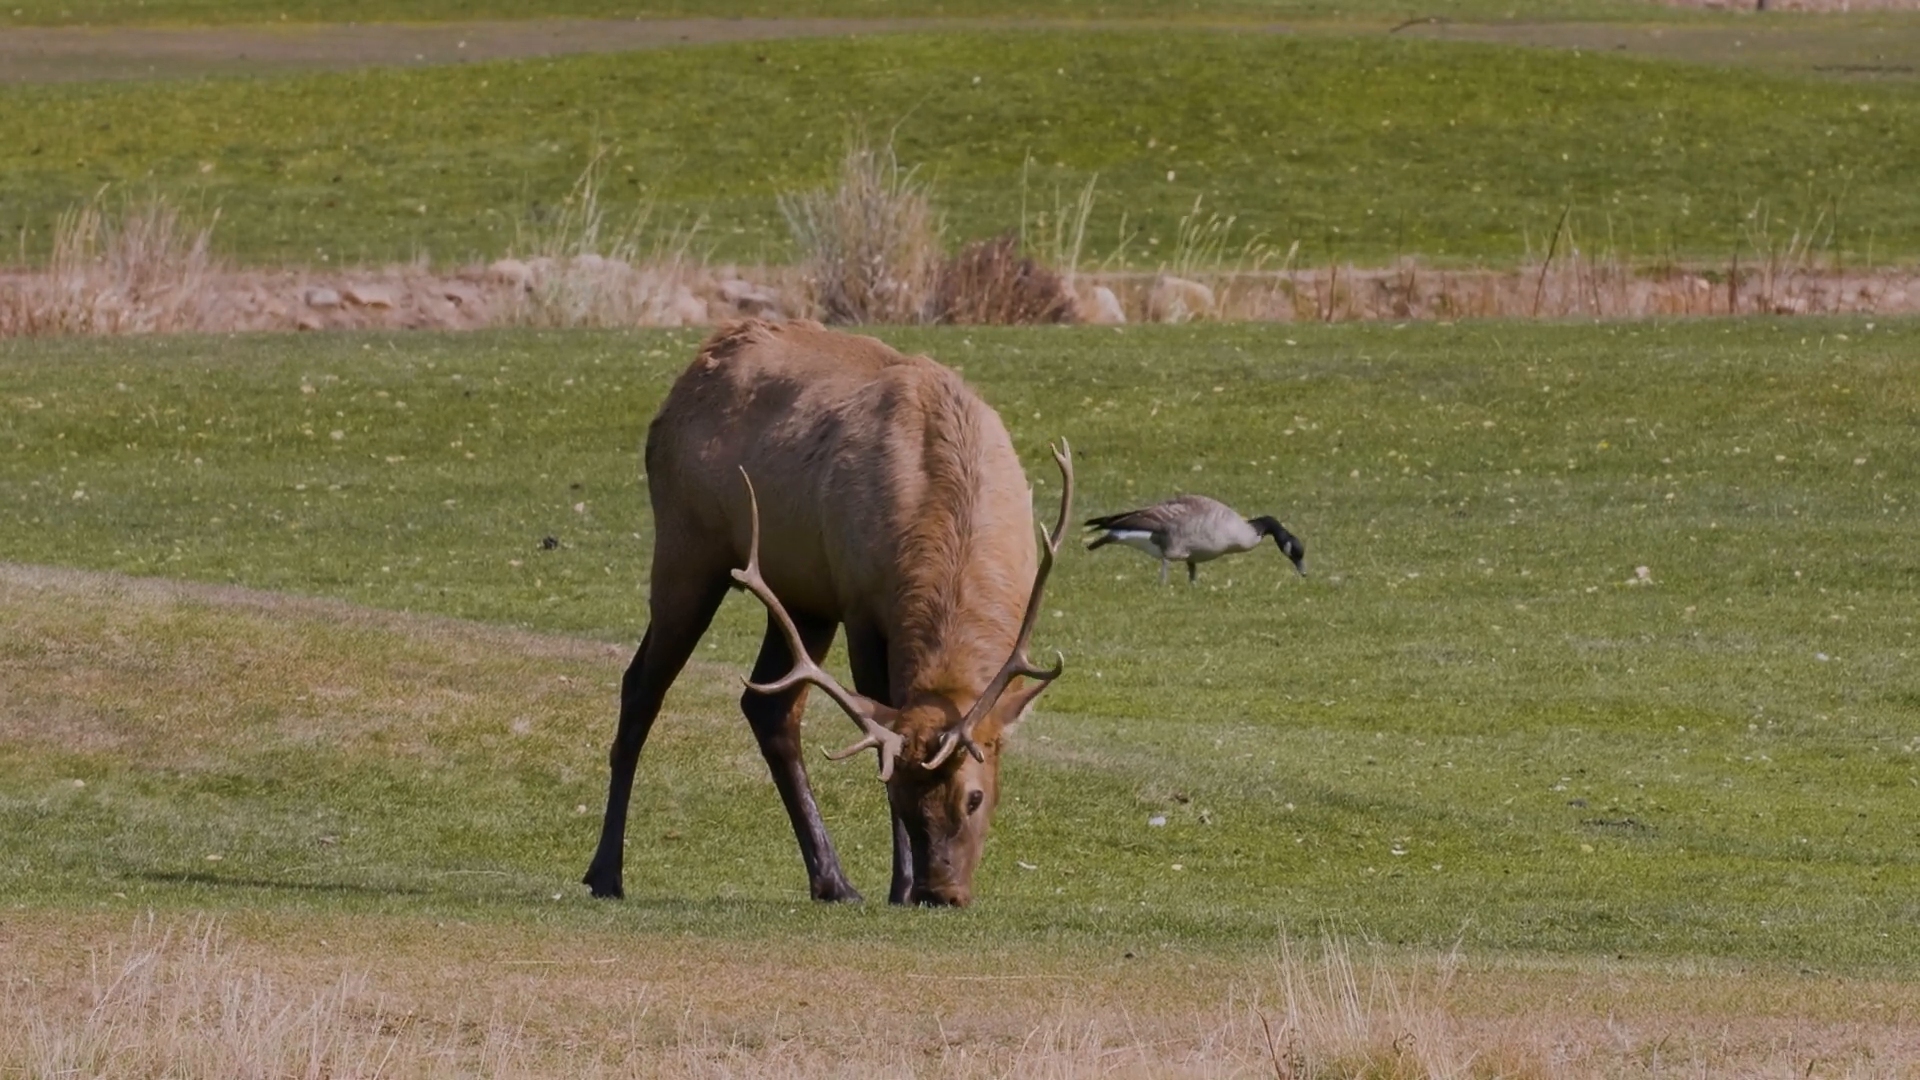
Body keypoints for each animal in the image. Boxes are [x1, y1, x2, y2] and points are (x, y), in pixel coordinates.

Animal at [576, 317, 1075, 899]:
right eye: (900, 795)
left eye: (974, 797)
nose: (939, 892)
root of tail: (685, 381)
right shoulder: (861, 605)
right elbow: (881, 728)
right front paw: (900, 885)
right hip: (687, 548)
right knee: (641, 687)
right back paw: (605, 872)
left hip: (801, 597)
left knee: (767, 708)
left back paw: (832, 879)